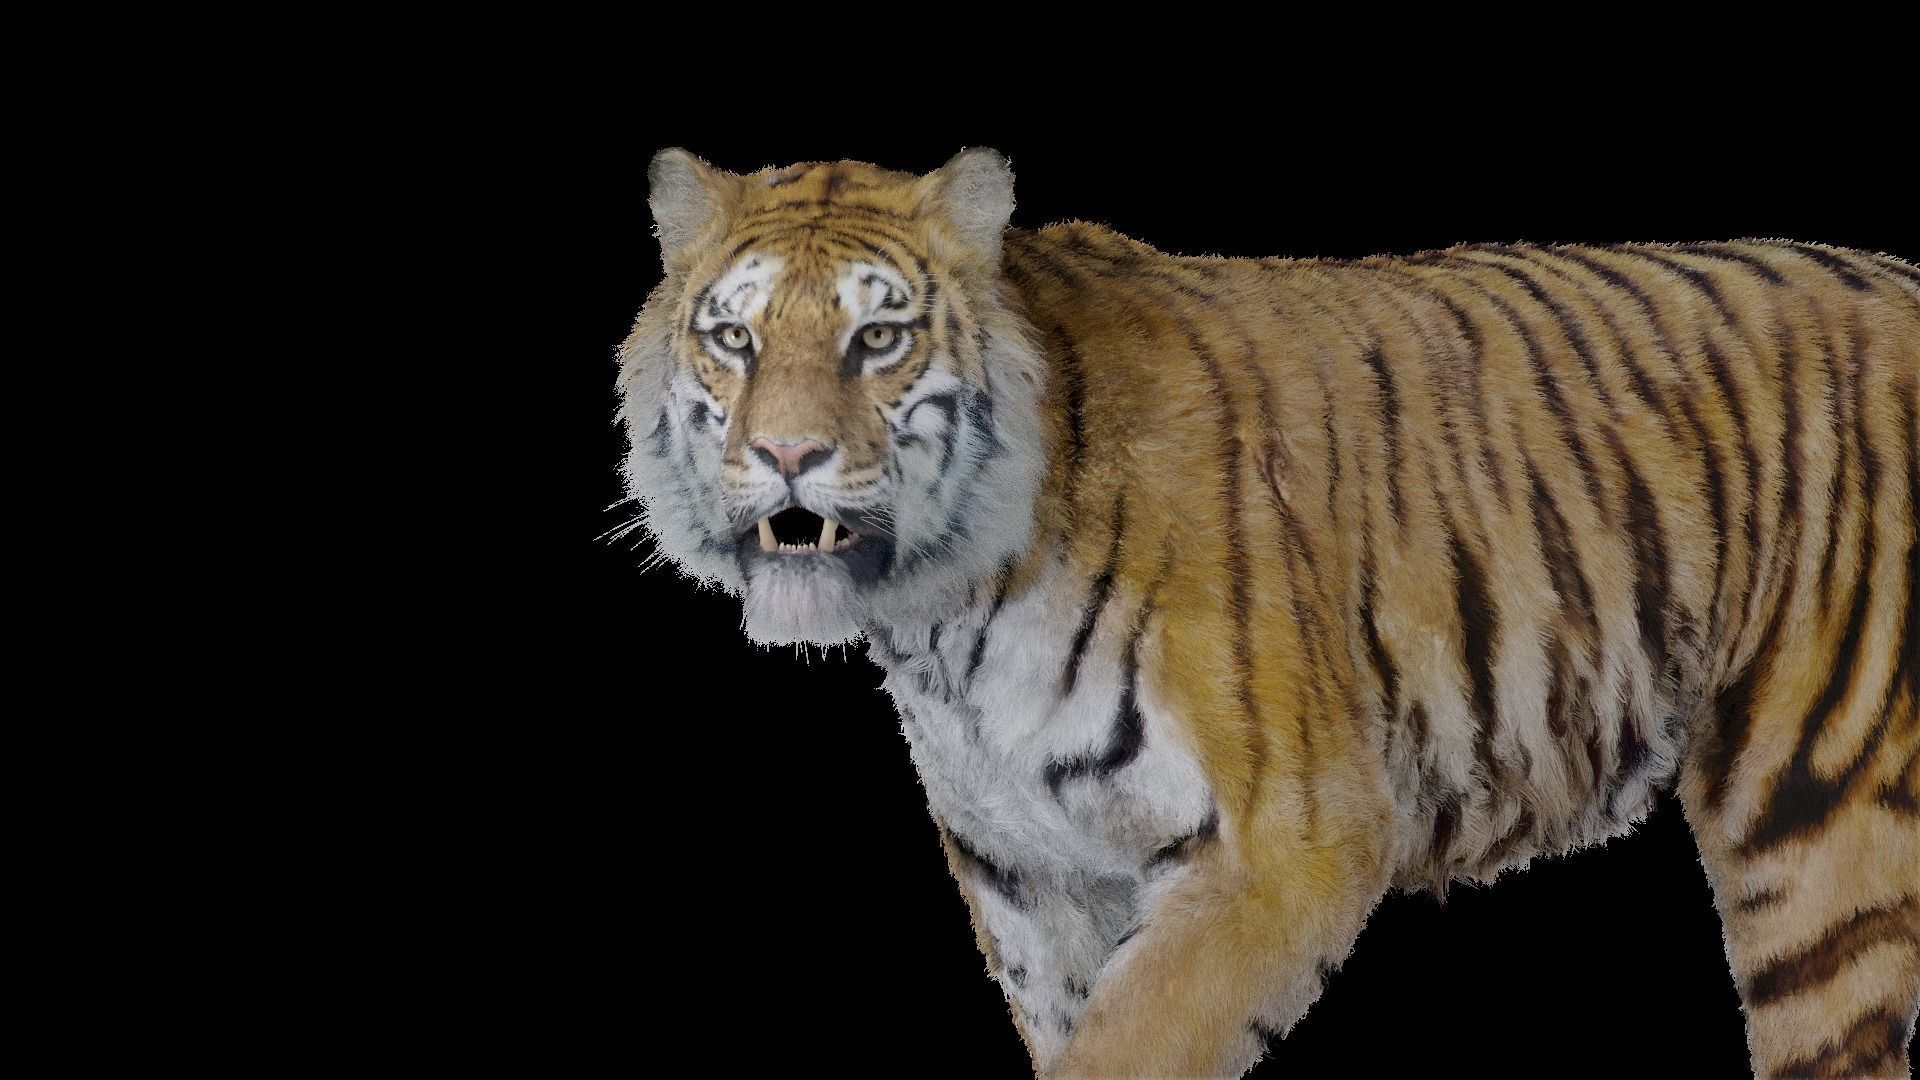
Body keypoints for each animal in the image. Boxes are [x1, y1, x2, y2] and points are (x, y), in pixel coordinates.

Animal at [614, 148, 1920, 1079]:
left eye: (876, 338)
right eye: (734, 339)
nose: (786, 456)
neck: (941, 620)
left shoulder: (1283, 847)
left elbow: (1133, 1053)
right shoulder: (1034, 878)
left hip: (1821, 827)